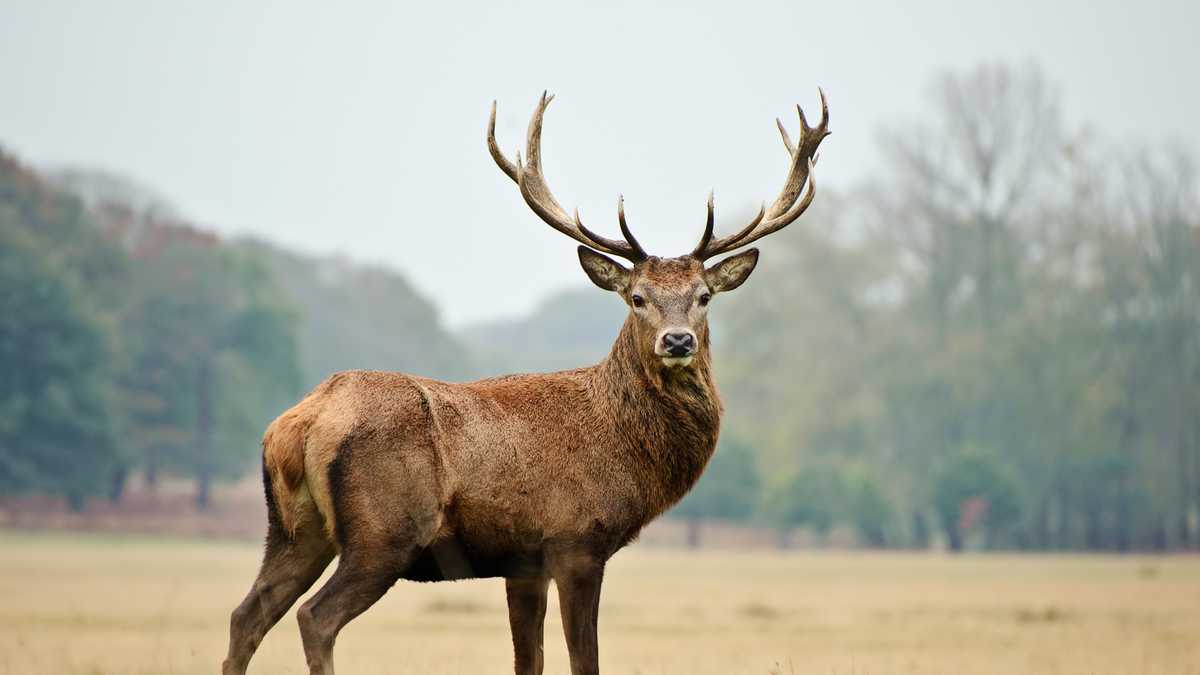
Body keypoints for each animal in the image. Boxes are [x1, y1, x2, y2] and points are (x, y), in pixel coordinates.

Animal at [223, 89, 830, 675]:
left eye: (704, 297)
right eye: (637, 298)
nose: (677, 341)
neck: (625, 448)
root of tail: (297, 424)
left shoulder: (523, 563)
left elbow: (527, 660)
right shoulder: (575, 541)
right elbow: (584, 661)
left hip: (295, 530)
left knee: (246, 615)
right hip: (383, 532)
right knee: (314, 618)